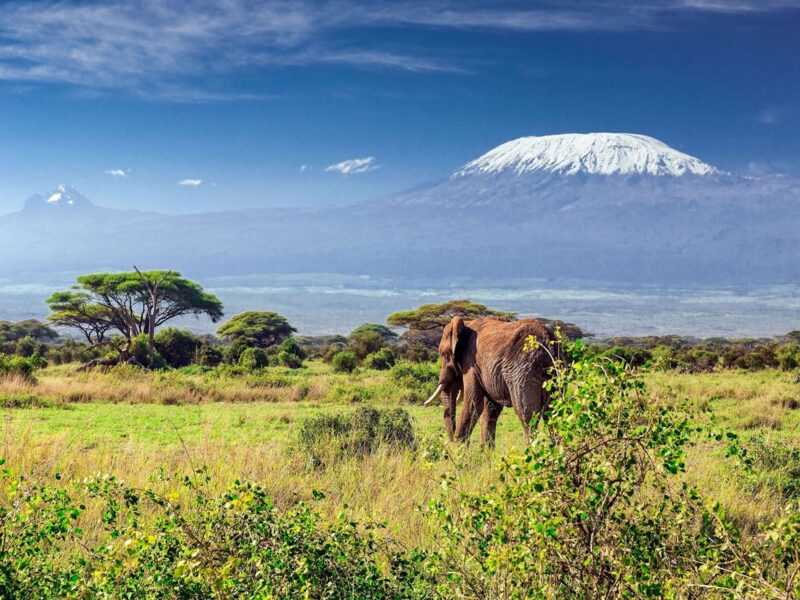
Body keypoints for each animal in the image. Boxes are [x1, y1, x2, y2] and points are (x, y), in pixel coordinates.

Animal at [422, 316, 560, 442]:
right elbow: (491, 408)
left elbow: (474, 403)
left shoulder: (471, 363)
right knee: (555, 415)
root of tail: (548, 344)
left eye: (443, 354)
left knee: (527, 416)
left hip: (523, 374)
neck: (467, 323)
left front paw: (459, 449)